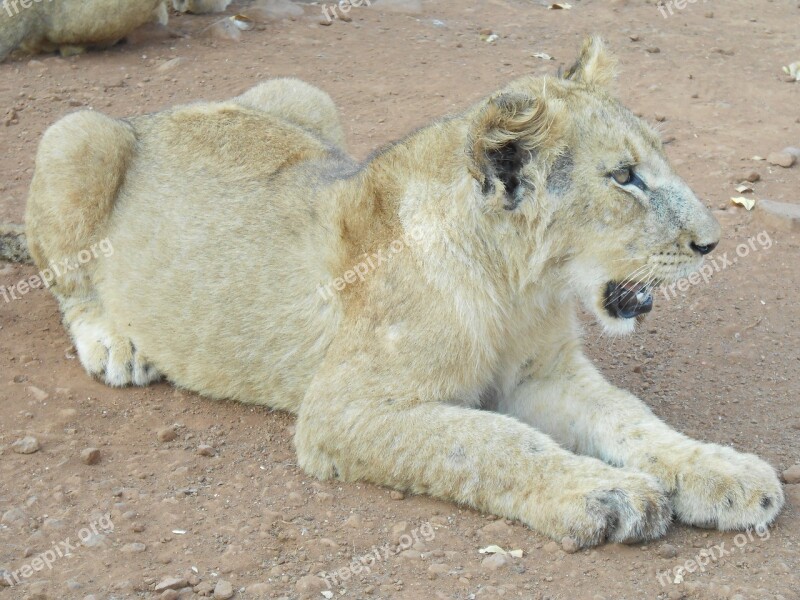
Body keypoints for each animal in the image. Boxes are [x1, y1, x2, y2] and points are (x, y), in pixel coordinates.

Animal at [6, 35, 784, 548]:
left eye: (656, 159)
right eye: (624, 177)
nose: (713, 242)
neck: (519, 285)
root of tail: (162, 110)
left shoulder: (548, 375)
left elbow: (632, 418)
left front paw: (725, 472)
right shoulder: (343, 408)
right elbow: (493, 441)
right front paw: (605, 492)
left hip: (301, 94)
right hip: (78, 134)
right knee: (67, 285)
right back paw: (116, 344)